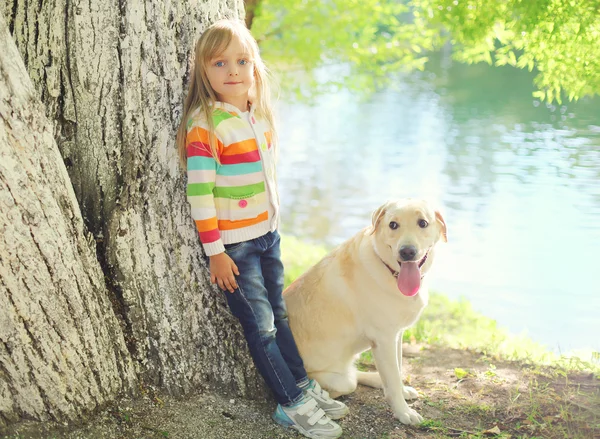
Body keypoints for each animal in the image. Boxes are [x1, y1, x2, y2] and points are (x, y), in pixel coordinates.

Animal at [284, 200, 446, 426]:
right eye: (393, 225)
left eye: (422, 223)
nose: (407, 252)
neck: (389, 270)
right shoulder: (384, 339)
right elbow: (393, 377)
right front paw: (403, 412)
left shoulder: (396, 335)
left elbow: (397, 368)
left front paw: (401, 390)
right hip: (335, 379)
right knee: (350, 381)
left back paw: (376, 378)